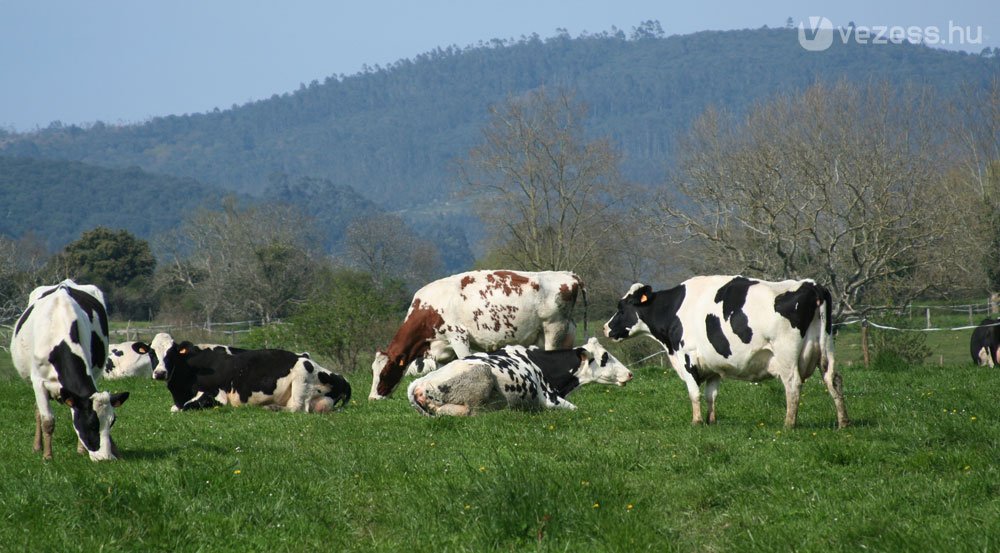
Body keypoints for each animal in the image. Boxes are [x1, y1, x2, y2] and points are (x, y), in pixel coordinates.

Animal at [10, 280, 131, 462]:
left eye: (112, 422)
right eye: (91, 424)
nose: (105, 458)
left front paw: (81, 451)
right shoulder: (38, 382)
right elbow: (48, 421)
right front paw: (48, 456)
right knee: (38, 411)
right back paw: (37, 446)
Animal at [147, 334, 352, 412]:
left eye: (171, 353)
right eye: (151, 353)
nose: (160, 373)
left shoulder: (216, 395)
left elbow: (184, 408)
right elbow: (176, 408)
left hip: (302, 375)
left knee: (297, 408)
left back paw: (272, 408)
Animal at [368, 270, 584, 398]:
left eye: (384, 372)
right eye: (373, 371)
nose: (372, 398)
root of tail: (569, 274)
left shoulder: (458, 336)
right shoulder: (442, 349)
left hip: (554, 326)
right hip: (563, 330)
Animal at [604, 274, 848, 426]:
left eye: (621, 307)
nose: (606, 327)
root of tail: (812, 285)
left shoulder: (686, 357)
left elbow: (694, 393)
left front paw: (696, 422)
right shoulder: (713, 365)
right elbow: (711, 395)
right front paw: (711, 421)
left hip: (786, 353)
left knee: (793, 385)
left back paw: (789, 424)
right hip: (826, 347)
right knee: (833, 379)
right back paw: (843, 422)